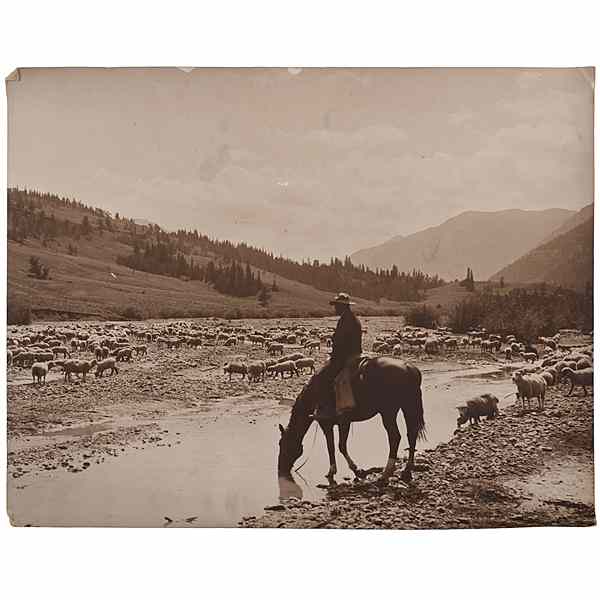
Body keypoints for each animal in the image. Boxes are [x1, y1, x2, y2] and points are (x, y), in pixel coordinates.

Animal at [278, 358, 426, 486]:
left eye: (282, 444)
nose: (280, 469)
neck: (315, 395)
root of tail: (409, 368)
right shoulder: (334, 424)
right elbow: (332, 447)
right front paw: (334, 471)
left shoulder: (337, 422)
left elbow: (339, 446)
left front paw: (355, 470)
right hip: (407, 408)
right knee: (411, 435)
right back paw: (407, 471)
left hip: (388, 412)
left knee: (395, 437)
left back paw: (385, 474)